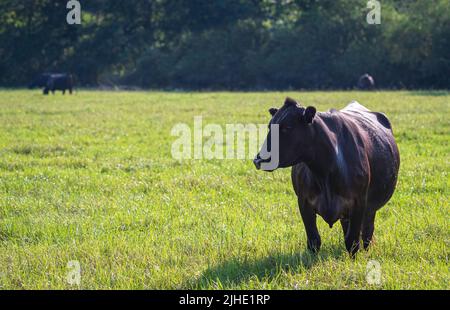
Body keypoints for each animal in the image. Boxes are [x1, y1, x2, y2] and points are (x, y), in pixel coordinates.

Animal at [255, 98, 400, 256]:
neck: (325, 173)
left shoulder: (359, 203)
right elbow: (314, 240)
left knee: (367, 233)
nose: (258, 160)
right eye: (269, 127)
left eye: (287, 127)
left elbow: (352, 241)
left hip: (370, 209)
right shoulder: (304, 202)